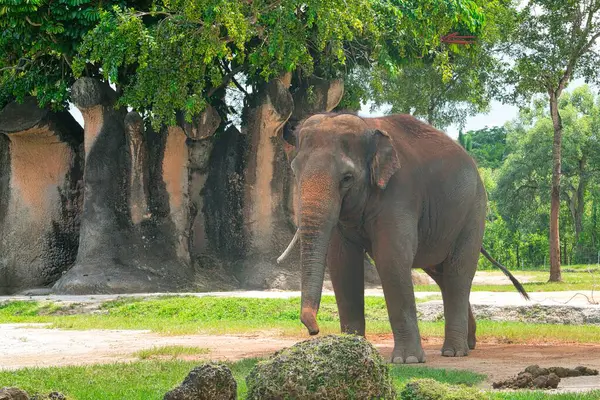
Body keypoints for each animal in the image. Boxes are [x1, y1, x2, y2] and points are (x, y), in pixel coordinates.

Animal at [276, 111, 528, 364]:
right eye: (294, 171)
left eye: (347, 178)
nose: (314, 330)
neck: (366, 125)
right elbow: (342, 264)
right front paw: (350, 350)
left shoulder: (399, 192)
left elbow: (392, 259)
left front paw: (407, 360)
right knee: (443, 276)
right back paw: (469, 343)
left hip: (473, 213)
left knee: (458, 273)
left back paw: (454, 352)